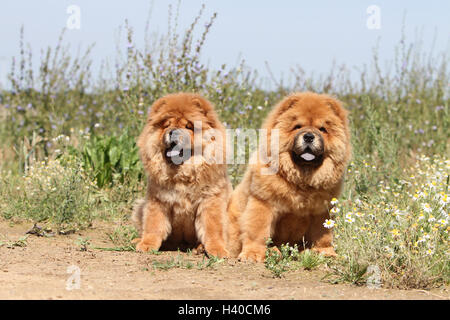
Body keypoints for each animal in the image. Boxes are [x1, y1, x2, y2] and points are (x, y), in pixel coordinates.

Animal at [132, 92, 230, 258]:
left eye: (188, 126)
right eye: (167, 125)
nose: (173, 132)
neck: (182, 174)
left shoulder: (210, 201)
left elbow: (213, 228)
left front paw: (218, 250)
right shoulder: (157, 200)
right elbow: (153, 224)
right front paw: (147, 245)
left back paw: (200, 248)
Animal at [229, 91, 352, 262]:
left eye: (322, 129)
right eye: (297, 127)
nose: (309, 136)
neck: (301, 180)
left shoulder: (321, 210)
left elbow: (322, 234)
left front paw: (325, 252)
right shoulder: (263, 203)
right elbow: (258, 231)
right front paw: (252, 255)